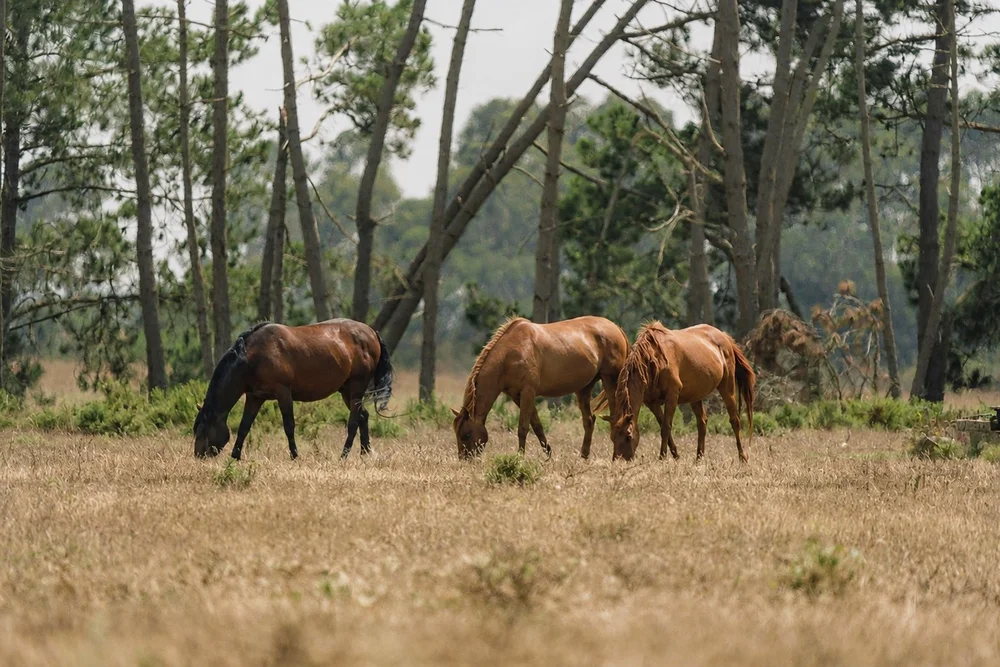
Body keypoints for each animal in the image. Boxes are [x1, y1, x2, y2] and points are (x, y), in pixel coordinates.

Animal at [193, 319, 393, 461]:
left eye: (203, 429)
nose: (198, 456)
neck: (253, 357)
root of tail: (372, 333)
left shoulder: (283, 393)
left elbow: (289, 425)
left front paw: (295, 455)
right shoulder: (254, 397)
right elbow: (244, 426)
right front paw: (235, 456)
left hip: (357, 386)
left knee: (353, 421)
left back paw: (343, 455)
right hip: (346, 390)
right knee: (363, 415)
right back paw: (365, 452)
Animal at [451, 316, 628, 459]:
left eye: (466, 434)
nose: (465, 459)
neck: (510, 354)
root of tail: (616, 328)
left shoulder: (528, 392)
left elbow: (523, 428)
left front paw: (519, 459)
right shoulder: (517, 396)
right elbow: (537, 426)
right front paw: (548, 455)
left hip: (610, 380)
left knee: (615, 417)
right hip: (584, 388)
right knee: (589, 421)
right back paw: (583, 457)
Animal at [595, 322, 755, 462]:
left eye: (628, 436)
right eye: (612, 437)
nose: (619, 460)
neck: (653, 359)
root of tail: (724, 336)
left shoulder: (672, 396)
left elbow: (666, 427)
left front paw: (662, 457)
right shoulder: (652, 403)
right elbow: (663, 425)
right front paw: (676, 456)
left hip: (727, 387)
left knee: (735, 420)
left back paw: (742, 457)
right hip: (695, 396)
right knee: (702, 422)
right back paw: (698, 459)